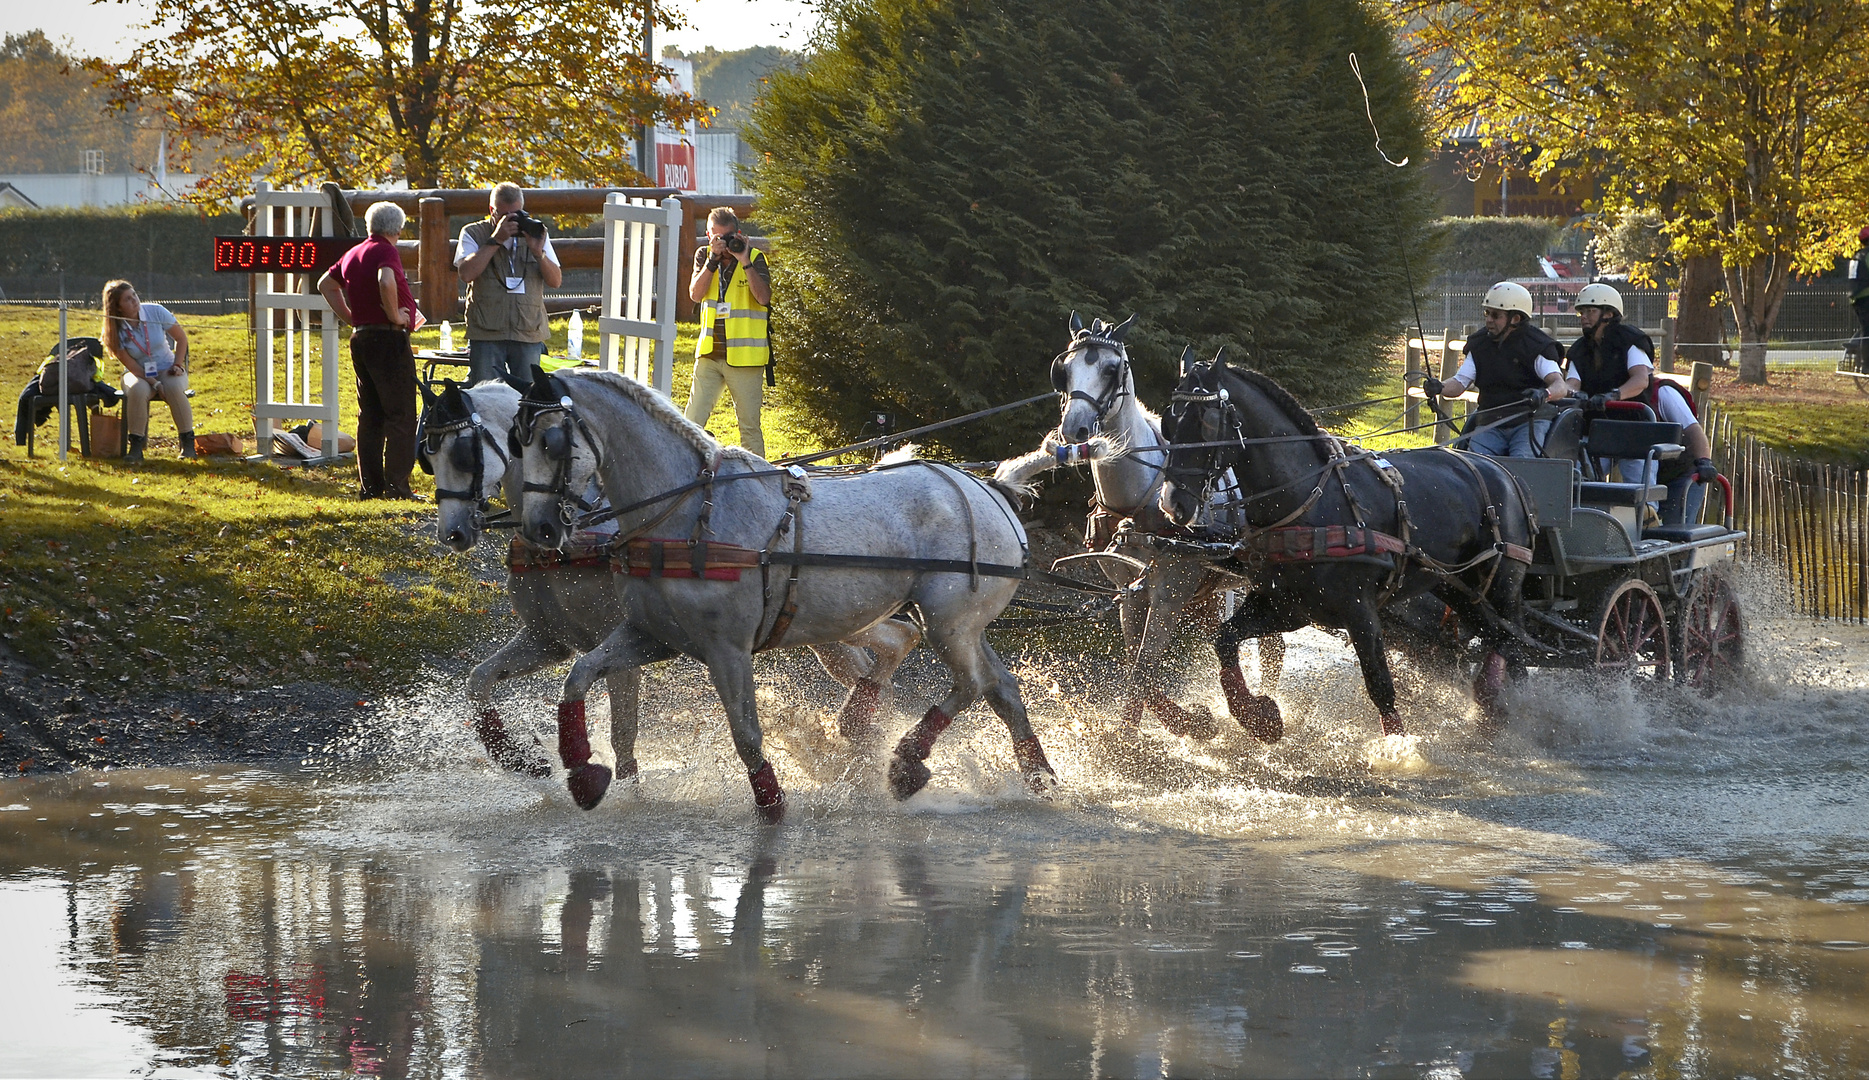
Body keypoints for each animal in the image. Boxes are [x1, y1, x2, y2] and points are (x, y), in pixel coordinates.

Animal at [420, 381, 923, 781]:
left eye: (462, 453)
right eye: (428, 453)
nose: (452, 533)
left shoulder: (616, 640)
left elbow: (623, 735)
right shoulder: (549, 639)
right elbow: (479, 680)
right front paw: (518, 759)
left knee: (881, 655)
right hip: (825, 626)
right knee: (884, 650)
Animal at [504, 364, 1046, 814]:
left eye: (551, 442)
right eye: (515, 441)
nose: (540, 528)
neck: (688, 512)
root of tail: (991, 489)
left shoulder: (726, 648)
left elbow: (746, 734)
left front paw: (772, 805)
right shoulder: (652, 635)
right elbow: (577, 676)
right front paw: (582, 775)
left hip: (948, 620)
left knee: (970, 684)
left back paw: (906, 764)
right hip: (959, 624)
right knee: (1000, 688)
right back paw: (1037, 775)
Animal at [994, 313, 1285, 739]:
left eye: (1111, 369)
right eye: (1064, 369)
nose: (1074, 429)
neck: (1136, 502)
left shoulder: (1167, 597)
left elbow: (1145, 666)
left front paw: (1136, 740)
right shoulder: (1130, 593)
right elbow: (1137, 661)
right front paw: (1177, 723)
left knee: (1272, 648)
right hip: (1210, 590)